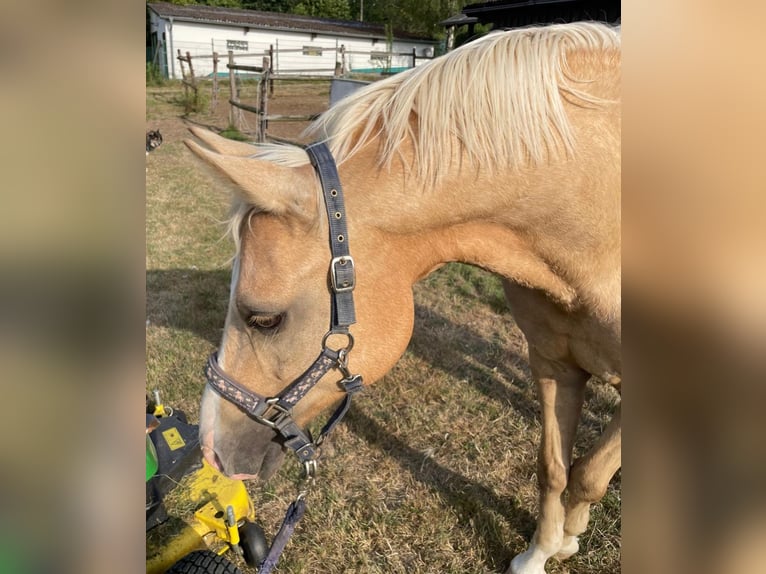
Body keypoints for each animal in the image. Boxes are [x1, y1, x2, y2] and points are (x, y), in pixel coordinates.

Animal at [185, 21, 621, 574]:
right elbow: (555, 468)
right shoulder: (552, 361)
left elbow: (590, 474)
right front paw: (543, 550)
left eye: (264, 319)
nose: (210, 451)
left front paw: (564, 540)